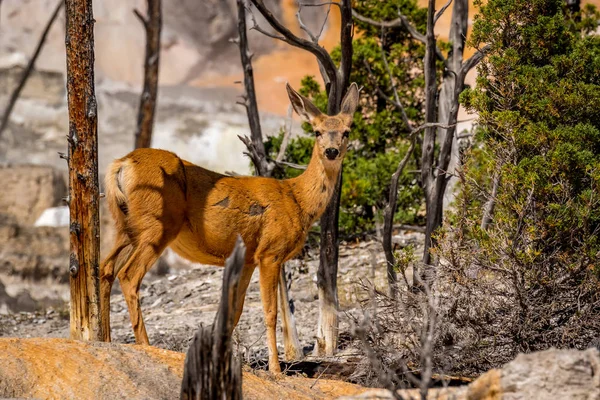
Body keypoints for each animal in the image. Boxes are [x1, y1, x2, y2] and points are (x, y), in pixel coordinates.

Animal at [101, 81, 358, 372]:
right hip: (157, 224)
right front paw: (275, 368)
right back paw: (145, 345)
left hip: (126, 225)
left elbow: (234, 312)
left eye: (347, 131)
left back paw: (104, 340)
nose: (331, 151)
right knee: (128, 275)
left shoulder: (247, 258)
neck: (297, 199)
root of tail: (121, 164)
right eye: (316, 131)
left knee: (106, 268)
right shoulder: (269, 252)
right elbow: (270, 312)